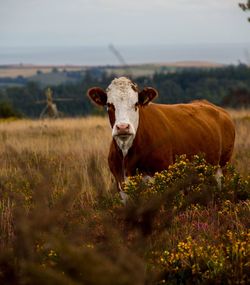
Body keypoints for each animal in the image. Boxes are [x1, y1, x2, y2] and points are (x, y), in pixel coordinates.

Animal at [87, 75, 234, 195]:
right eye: (109, 105)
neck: (127, 155)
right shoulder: (121, 184)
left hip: (223, 167)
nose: (123, 127)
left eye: (136, 104)